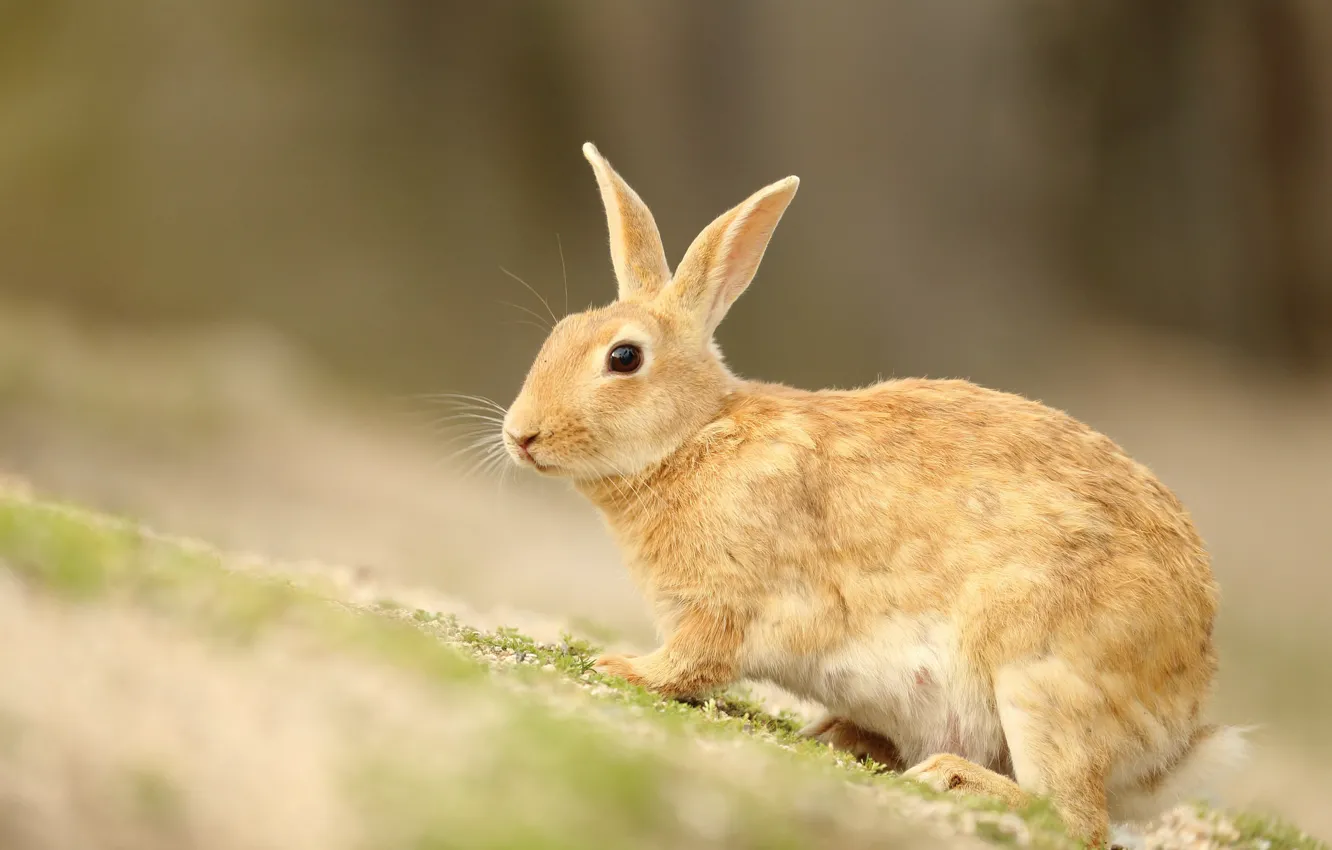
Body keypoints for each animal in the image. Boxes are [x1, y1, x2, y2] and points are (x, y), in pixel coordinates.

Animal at [499, 142, 1246, 847]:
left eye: (623, 358)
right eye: (560, 332)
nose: (519, 435)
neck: (693, 436)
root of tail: (1177, 729)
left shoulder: (728, 603)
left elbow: (694, 661)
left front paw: (620, 666)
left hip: (1042, 681)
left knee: (1071, 816)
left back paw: (949, 777)